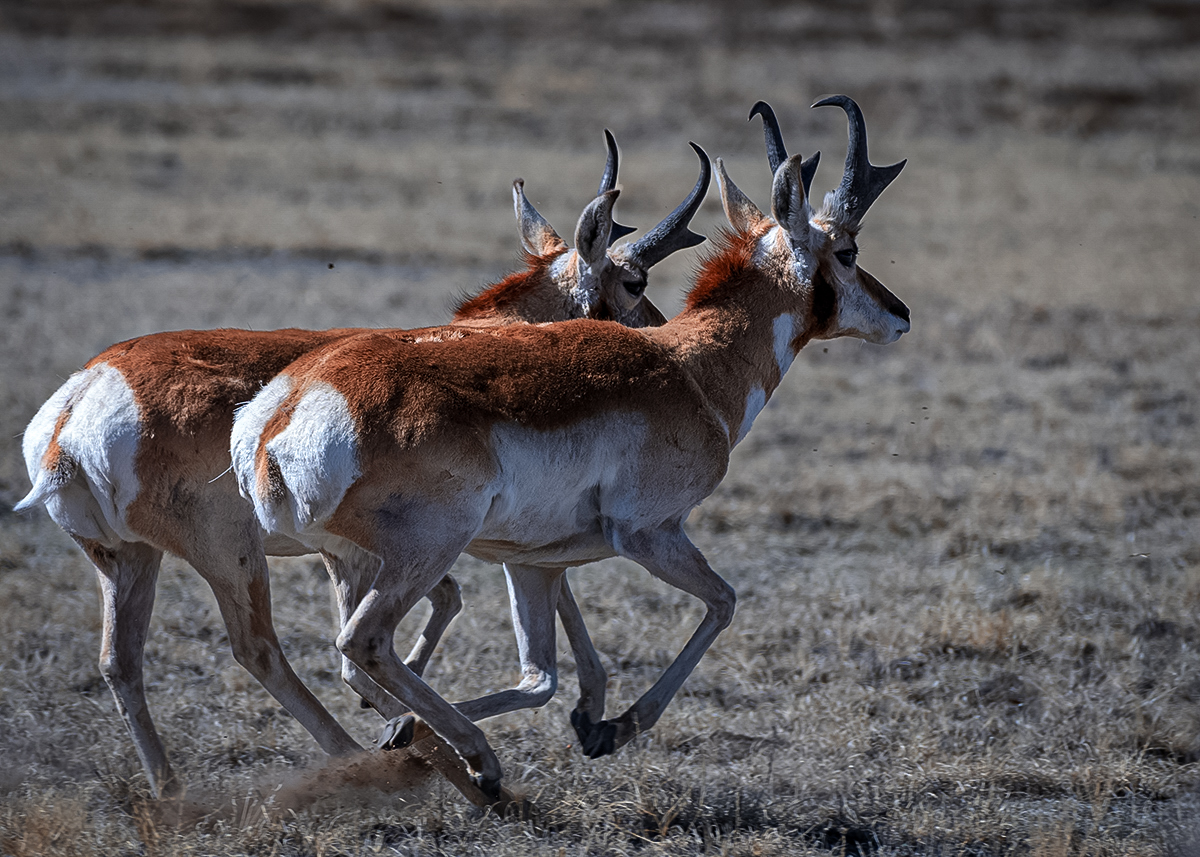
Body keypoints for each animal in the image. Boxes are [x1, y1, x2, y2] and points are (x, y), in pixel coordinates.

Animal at [14, 133, 705, 792]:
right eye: (635, 281)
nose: (665, 344)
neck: (489, 331)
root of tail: (82, 401)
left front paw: (591, 718)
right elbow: (450, 612)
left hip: (129, 559)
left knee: (120, 662)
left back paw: (171, 790)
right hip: (231, 554)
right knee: (258, 649)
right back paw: (382, 761)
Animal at [226, 96, 907, 796]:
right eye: (848, 250)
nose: (901, 314)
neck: (688, 366)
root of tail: (281, 411)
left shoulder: (533, 563)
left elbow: (540, 675)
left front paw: (570, 722)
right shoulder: (648, 535)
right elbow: (723, 602)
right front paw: (613, 727)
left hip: (352, 559)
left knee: (357, 658)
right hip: (423, 553)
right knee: (362, 645)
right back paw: (478, 760)